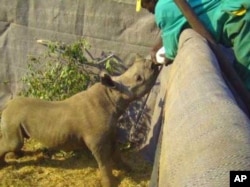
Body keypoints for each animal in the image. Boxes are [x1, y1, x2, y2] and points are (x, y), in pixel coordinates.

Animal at [0, 54, 159, 187]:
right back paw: (4, 164)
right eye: (139, 78)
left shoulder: (111, 132)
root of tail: (7, 104)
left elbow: (116, 153)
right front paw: (110, 183)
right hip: (13, 117)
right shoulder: (96, 140)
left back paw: (16, 155)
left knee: (16, 142)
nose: (152, 62)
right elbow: (104, 162)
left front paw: (128, 169)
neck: (112, 96)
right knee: (14, 142)